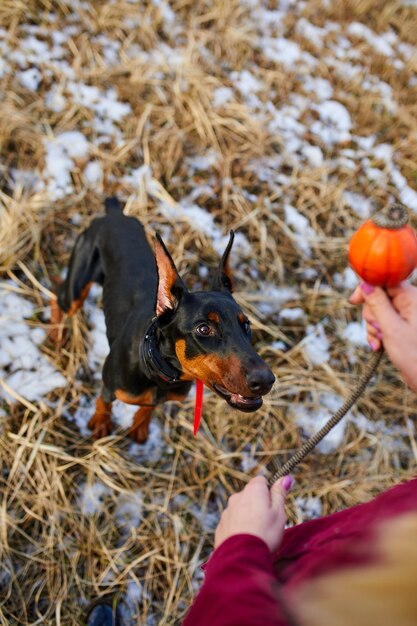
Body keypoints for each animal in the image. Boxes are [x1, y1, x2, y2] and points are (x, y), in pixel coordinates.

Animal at [51, 197, 272, 442]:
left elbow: (148, 408)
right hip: (76, 289)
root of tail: (114, 212)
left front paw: (140, 426)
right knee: (58, 294)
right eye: (204, 329)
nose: (266, 381)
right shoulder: (110, 386)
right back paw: (57, 334)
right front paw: (101, 423)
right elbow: (103, 402)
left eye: (246, 324)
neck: (158, 373)